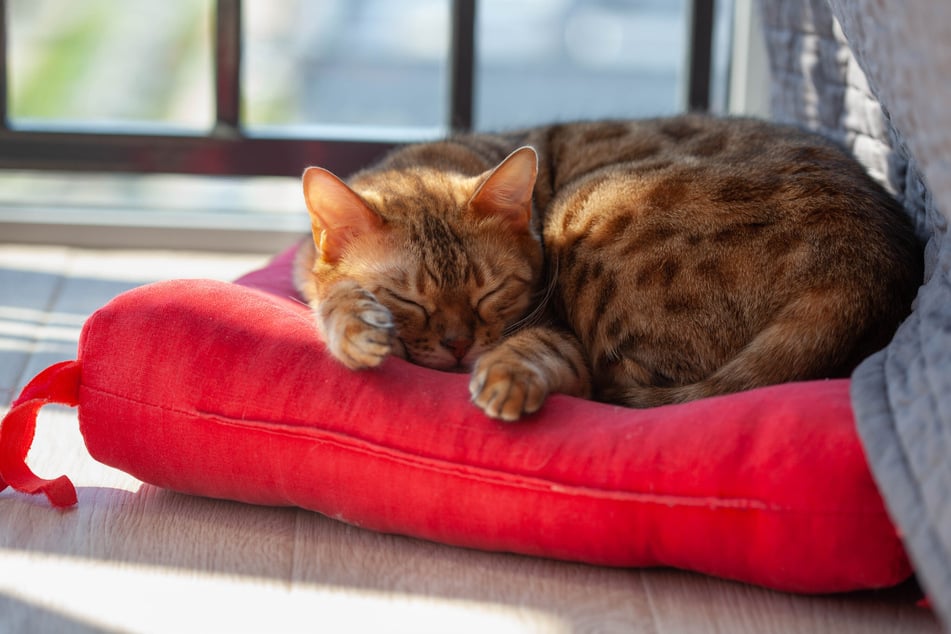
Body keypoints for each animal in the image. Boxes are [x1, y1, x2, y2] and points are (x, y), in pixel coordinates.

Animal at [296, 113, 924, 420]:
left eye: (490, 292)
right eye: (409, 300)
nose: (458, 346)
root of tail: (862, 267)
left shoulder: (557, 332)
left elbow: (542, 355)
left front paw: (506, 377)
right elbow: (334, 296)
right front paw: (359, 329)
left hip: (591, 206)